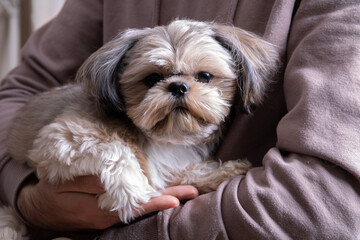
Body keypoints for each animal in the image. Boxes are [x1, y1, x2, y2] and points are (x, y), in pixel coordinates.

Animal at [0, 19, 278, 238]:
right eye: (152, 79)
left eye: (205, 76)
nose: (178, 86)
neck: (162, 138)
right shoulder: (61, 136)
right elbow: (115, 150)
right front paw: (130, 189)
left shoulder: (172, 165)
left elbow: (190, 171)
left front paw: (227, 171)